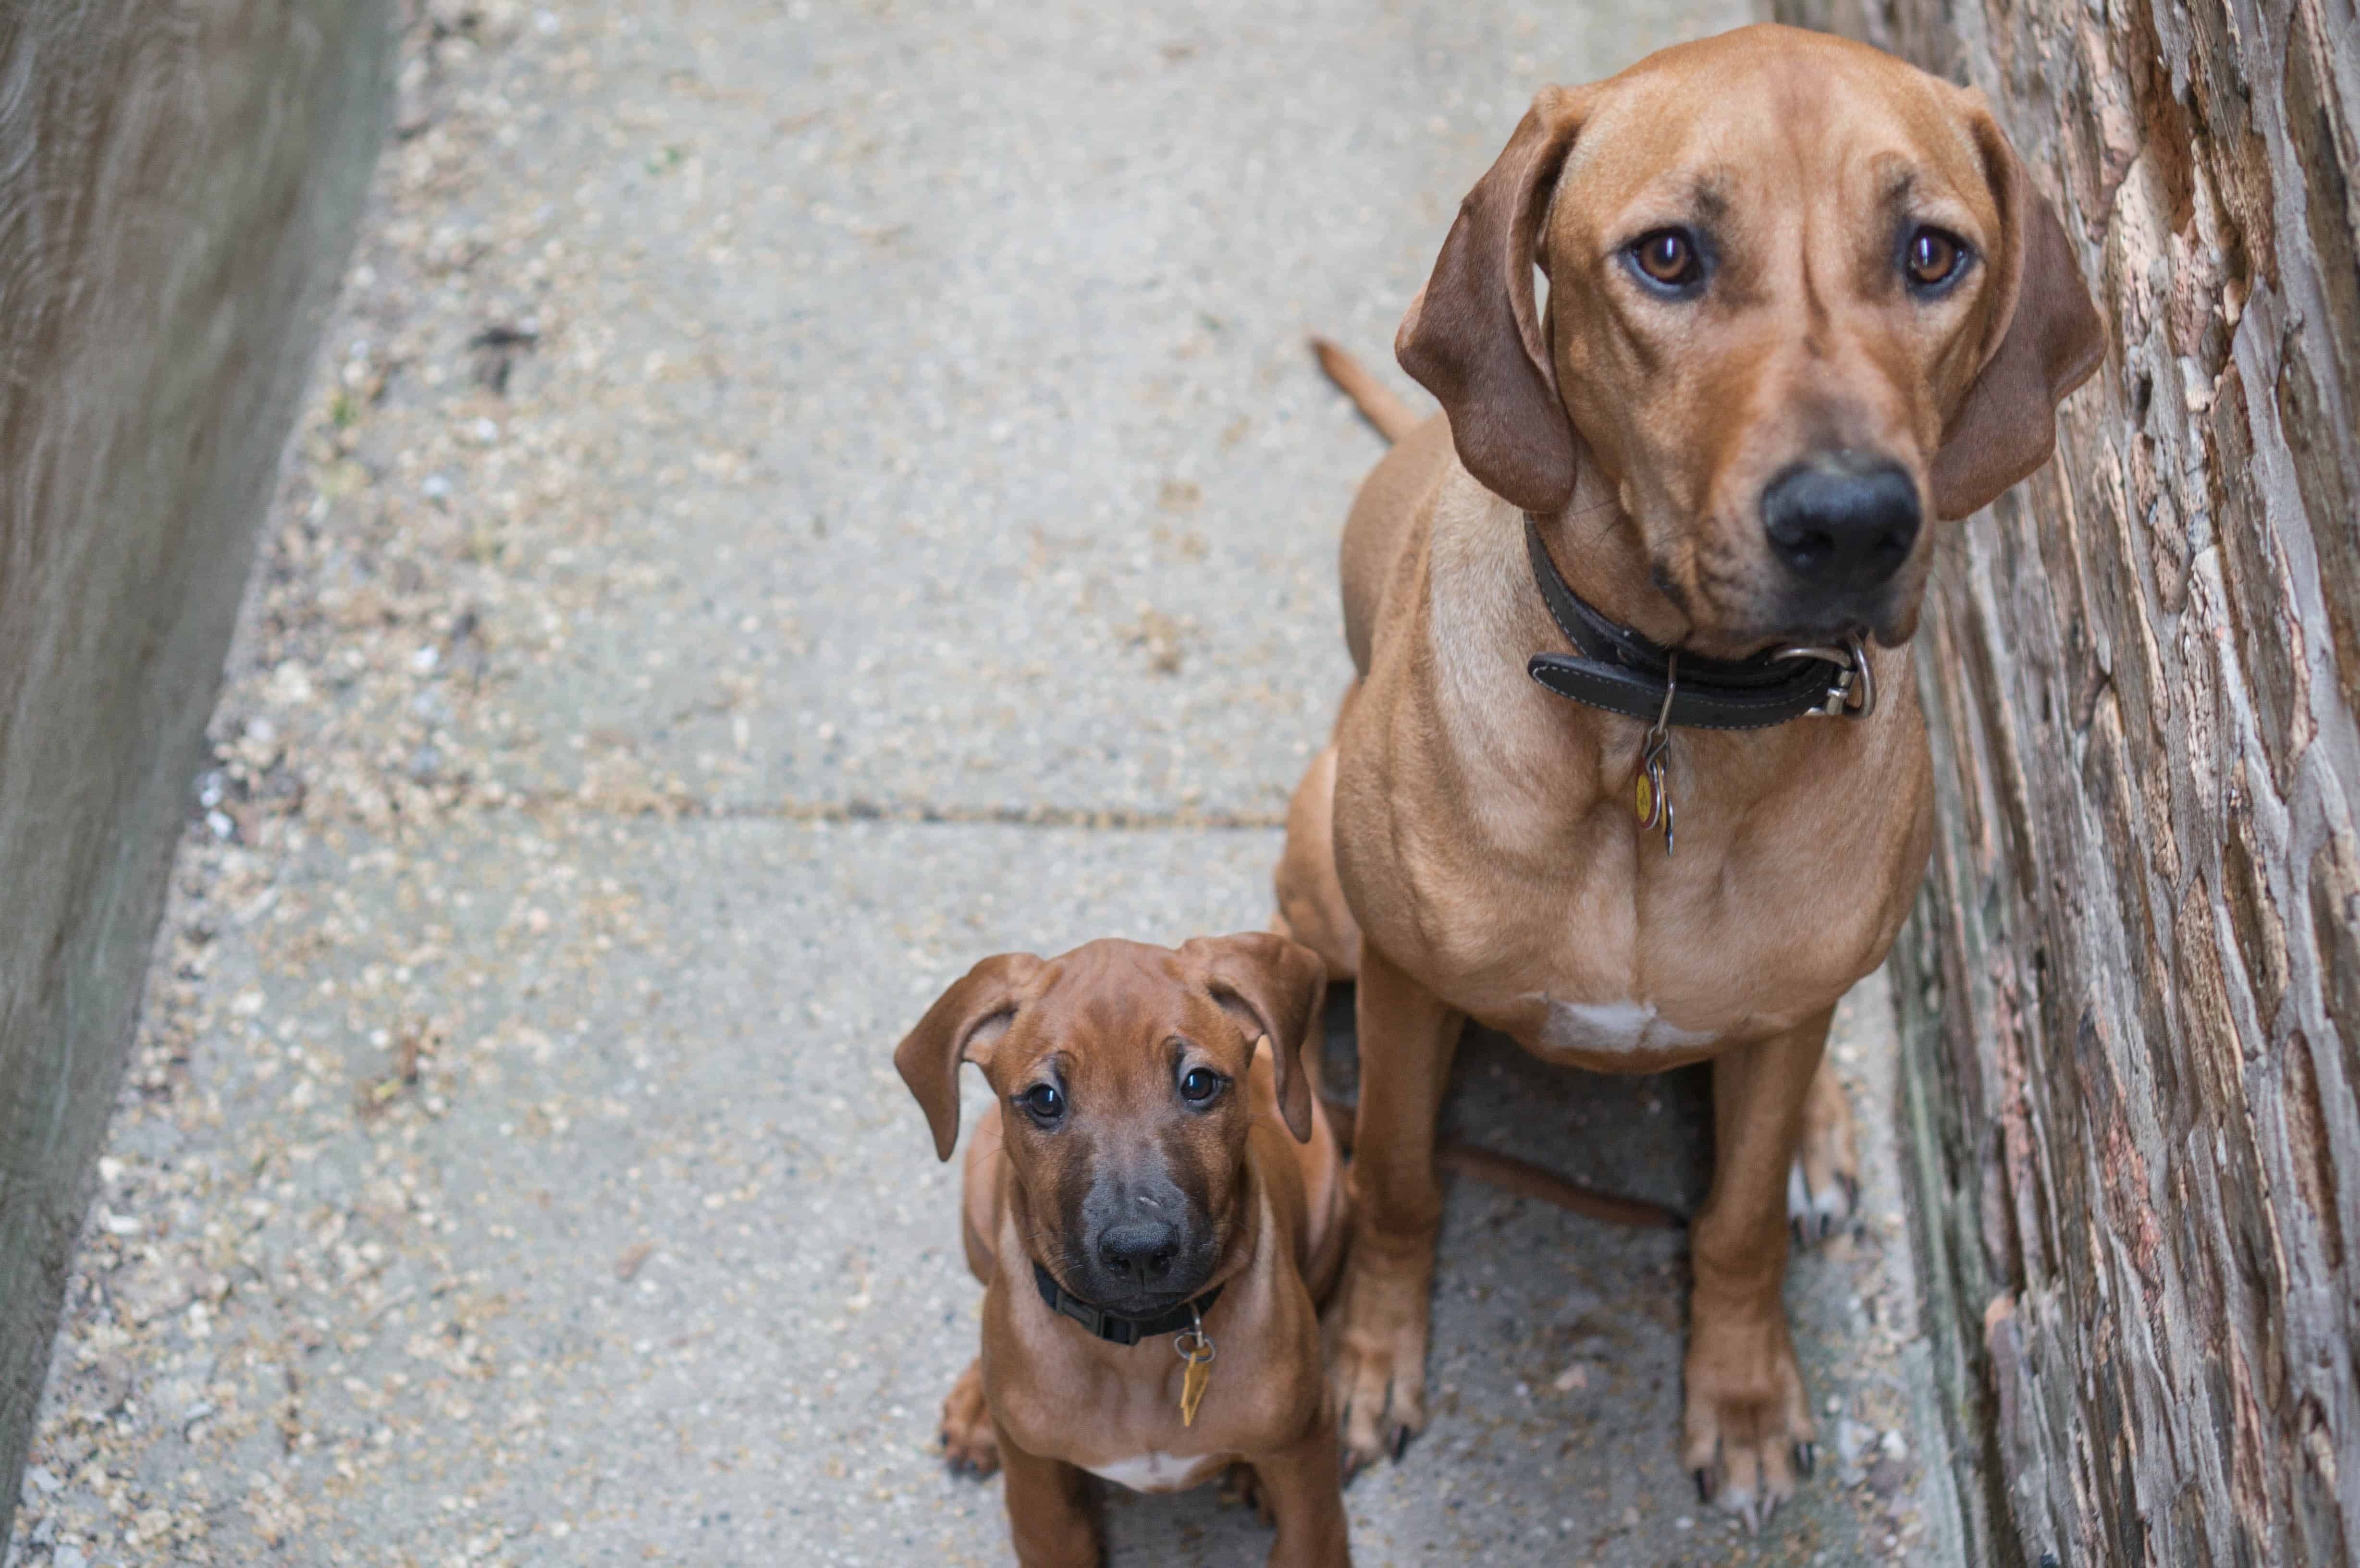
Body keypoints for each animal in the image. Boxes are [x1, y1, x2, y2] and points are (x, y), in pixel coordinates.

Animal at [897, 935, 1350, 1558]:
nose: (1139, 1251)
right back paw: (978, 1408)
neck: (1141, 1356)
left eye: (1198, 1084)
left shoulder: (1307, 1458)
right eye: (1044, 1099)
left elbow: (1309, 1541)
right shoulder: (1042, 1500)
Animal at [1274, 18, 2105, 1520]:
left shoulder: (1777, 1031)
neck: (1671, 710)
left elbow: (1735, 1220)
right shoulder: (1411, 987)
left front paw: (1746, 1398)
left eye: (1931, 254)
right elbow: (1398, 1179)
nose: (1852, 521)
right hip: (1317, 879)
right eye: (1667, 256)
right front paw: (1367, 1360)